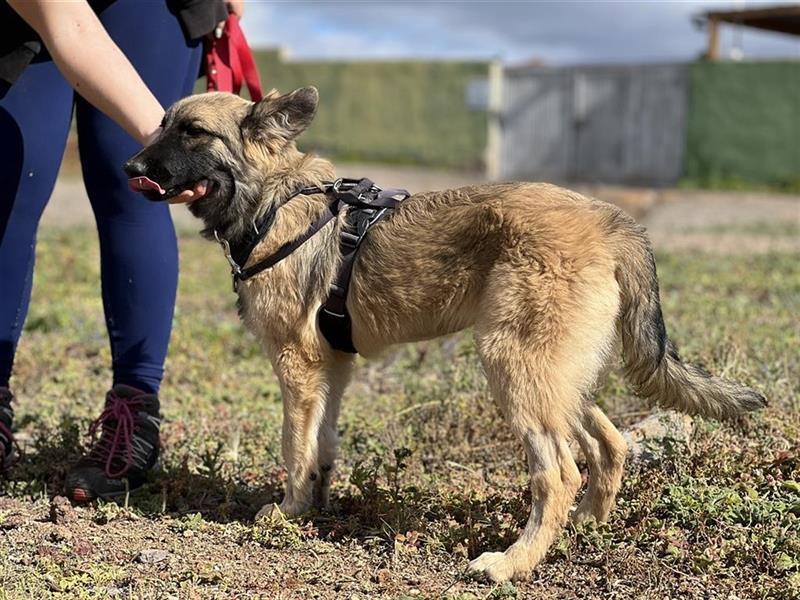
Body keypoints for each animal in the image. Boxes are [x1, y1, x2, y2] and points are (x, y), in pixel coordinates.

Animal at [122, 85, 764, 580]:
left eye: (193, 132)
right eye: (161, 126)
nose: (130, 170)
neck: (275, 197)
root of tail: (611, 220)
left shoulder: (297, 366)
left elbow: (293, 446)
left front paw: (288, 510)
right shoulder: (333, 367)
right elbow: (321, 446)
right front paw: (317, 507)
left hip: (513, 363)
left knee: (559, 472)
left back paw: (513, 563)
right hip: (555, 374)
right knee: (610, 443)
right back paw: (582, 527)